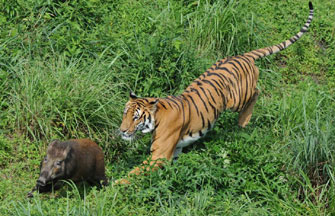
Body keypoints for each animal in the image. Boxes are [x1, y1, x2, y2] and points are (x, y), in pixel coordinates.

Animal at [117, 1, 314, 184]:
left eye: (136, 117)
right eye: (125, 114)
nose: (122, 130)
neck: (156, 118)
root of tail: (242, 55)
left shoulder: (159, 155)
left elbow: (132, 174)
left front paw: (114, 186)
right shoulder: (175, 150)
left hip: (238, 99)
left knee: (257, 91)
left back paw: (244, 121)